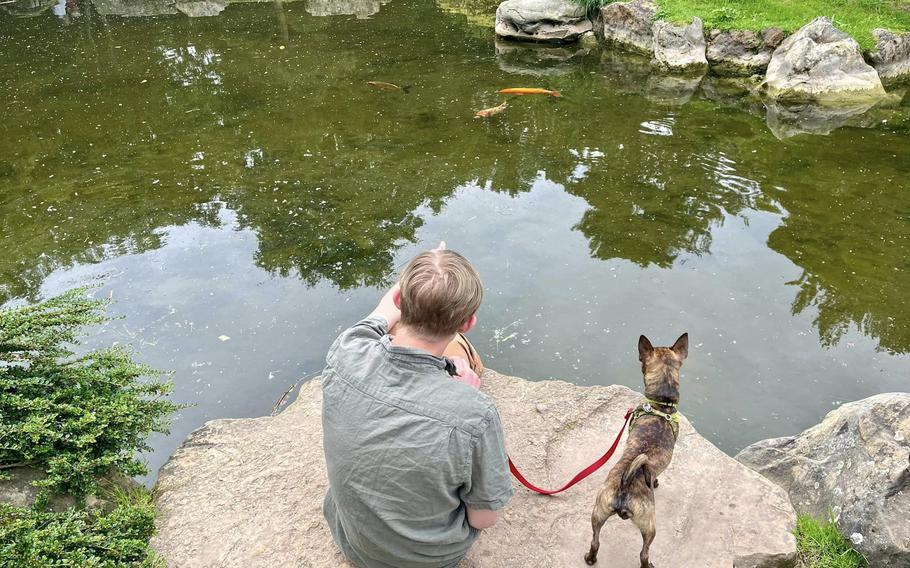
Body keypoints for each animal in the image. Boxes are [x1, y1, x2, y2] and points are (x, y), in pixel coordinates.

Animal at [588, 332, 688, 568]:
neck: (661, 406)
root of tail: (625, 487)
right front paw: (656, 482)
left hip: (598, 512)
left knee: (595, 541)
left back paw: (590, 558)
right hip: (649, 527)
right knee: (644, 553)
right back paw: (648, 564)